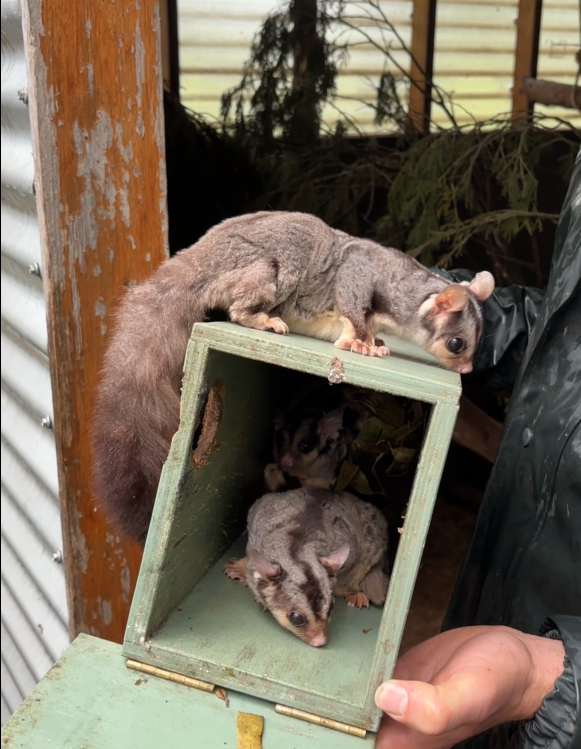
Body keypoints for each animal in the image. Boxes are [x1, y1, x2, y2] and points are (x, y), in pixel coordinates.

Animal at [91, 211, 494, 544]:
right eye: (457, 343)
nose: (467, 370)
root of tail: (199, 259)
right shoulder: (359, 280)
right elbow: (354, 311)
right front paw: (364, 343)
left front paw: (375, 341)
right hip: (264, 272)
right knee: (241, 306)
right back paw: (264, 319)